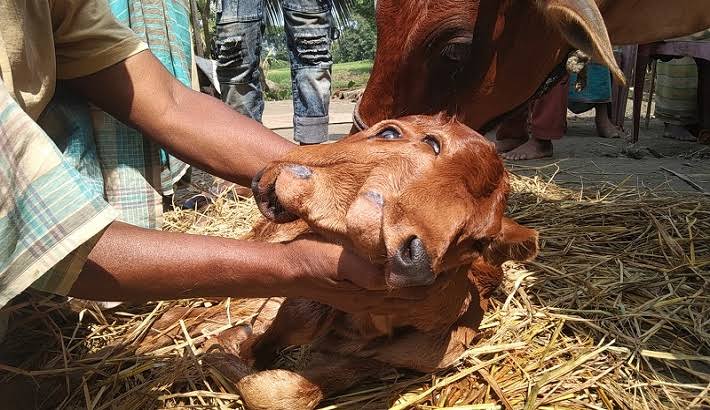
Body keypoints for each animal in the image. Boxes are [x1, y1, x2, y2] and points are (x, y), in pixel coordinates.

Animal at [206, 115, 540, 410]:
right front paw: (227, 347)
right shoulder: (299, 304)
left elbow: (283, 392)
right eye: (389, 133)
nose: (414, 257)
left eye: (478, 241)